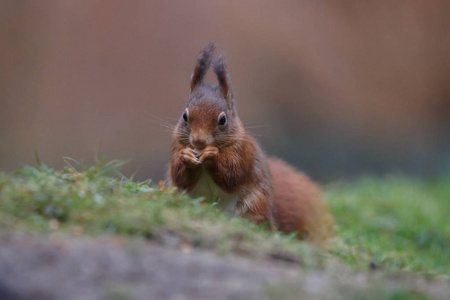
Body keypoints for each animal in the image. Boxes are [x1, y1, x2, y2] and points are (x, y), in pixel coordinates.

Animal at [167, 43, 332, 243]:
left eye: (222, 120)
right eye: (185, 116)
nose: (198, 141)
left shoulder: (244, 151)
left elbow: (233, 173)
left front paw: (212, 155)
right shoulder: (175, 144)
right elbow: (180, 176)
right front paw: (186, 156)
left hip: (253, 205)